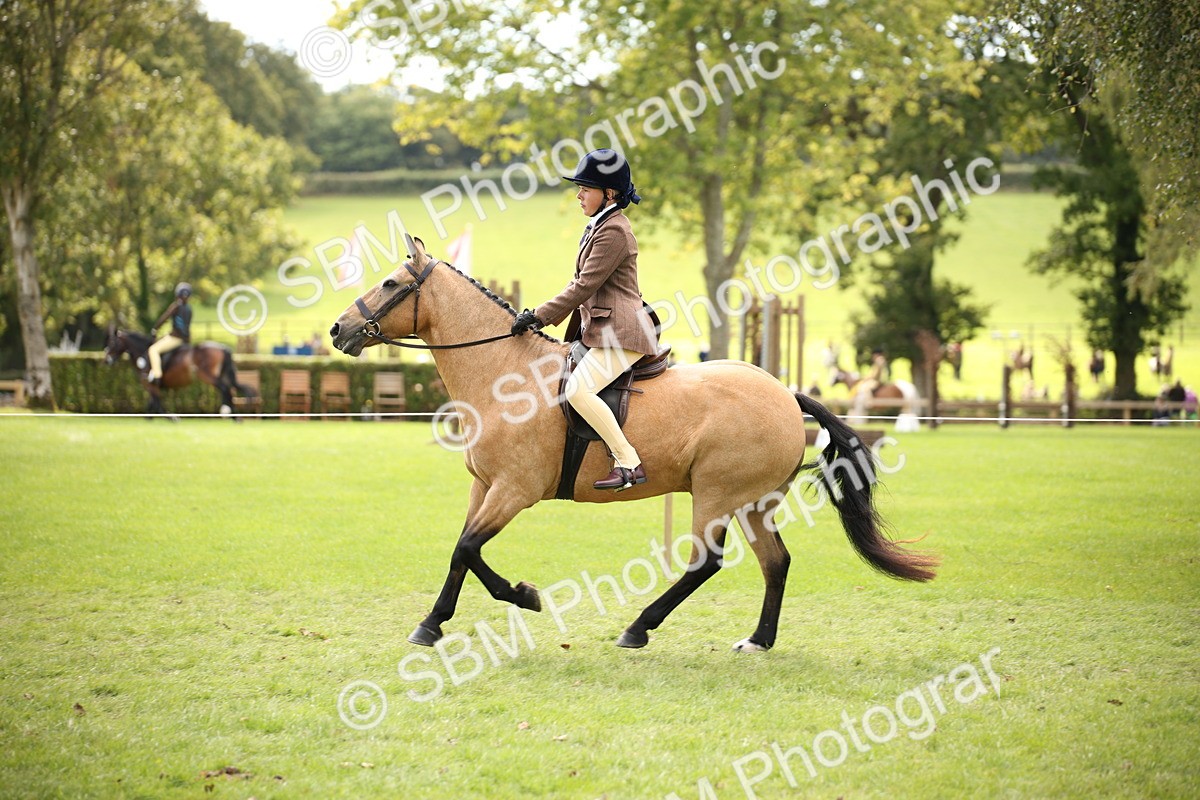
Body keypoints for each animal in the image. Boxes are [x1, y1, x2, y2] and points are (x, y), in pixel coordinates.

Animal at [103, 328, 255, 418]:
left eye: (112, 342)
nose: (106, 360)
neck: (142, 353)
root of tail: (223, 348)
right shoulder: (152, 387)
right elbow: (152, 406)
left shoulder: (149, 385)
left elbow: (156, 405)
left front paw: (171, 417)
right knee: (228, 389)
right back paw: (234, 415)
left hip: (207, 376)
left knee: (224, 388)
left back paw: (227, 411)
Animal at [328, 235, 938, 652]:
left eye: (390, 284)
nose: (338, 330)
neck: (503, 371)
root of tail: (785, 394)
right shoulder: (484, 488)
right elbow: (462, 552)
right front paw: (433, 622)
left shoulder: (514, 490)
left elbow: (468, 549)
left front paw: (522, 596)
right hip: (753, 502)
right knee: (776, 562)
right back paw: (757, 641)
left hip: (716, 495)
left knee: (706, 563)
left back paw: (638, 628)